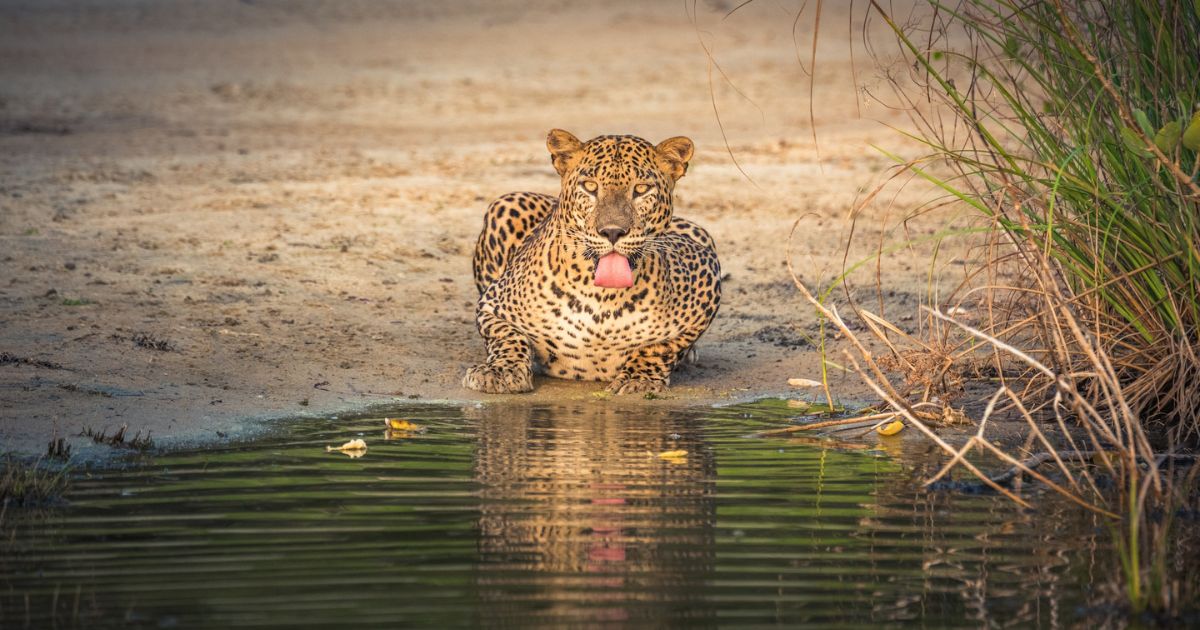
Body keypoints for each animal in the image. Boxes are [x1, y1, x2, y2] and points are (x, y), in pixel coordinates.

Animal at [463, 129, 715, 393]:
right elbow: (508, 336)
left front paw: (639, 379)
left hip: (700, 232)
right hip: (506, 203)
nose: (612, 231)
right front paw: (500, 371)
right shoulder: (492, 304)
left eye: (641, 189)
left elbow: (660, 346)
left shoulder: (706, 275)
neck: (602, 299)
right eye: (590, 186)